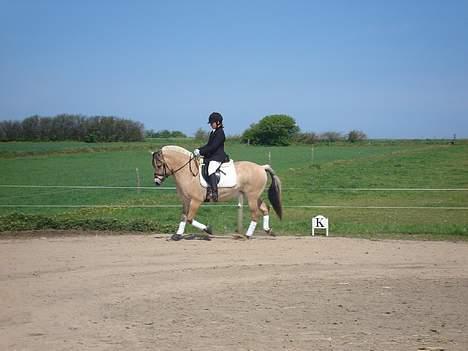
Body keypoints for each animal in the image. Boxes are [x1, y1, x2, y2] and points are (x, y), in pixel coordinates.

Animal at [152, 146, 282, 242]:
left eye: (159, 165)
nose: (157, 182)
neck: (188, 173)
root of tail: (261, 167)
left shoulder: (196, 201)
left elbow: (189, 218)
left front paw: (208, 229)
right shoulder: (185, 201)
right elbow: (183, 217)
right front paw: (177, 235)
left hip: (252, 197)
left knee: (255, 214)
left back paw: (247, 236)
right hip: (253, 196)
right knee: (265, 208)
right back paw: (268, 230)